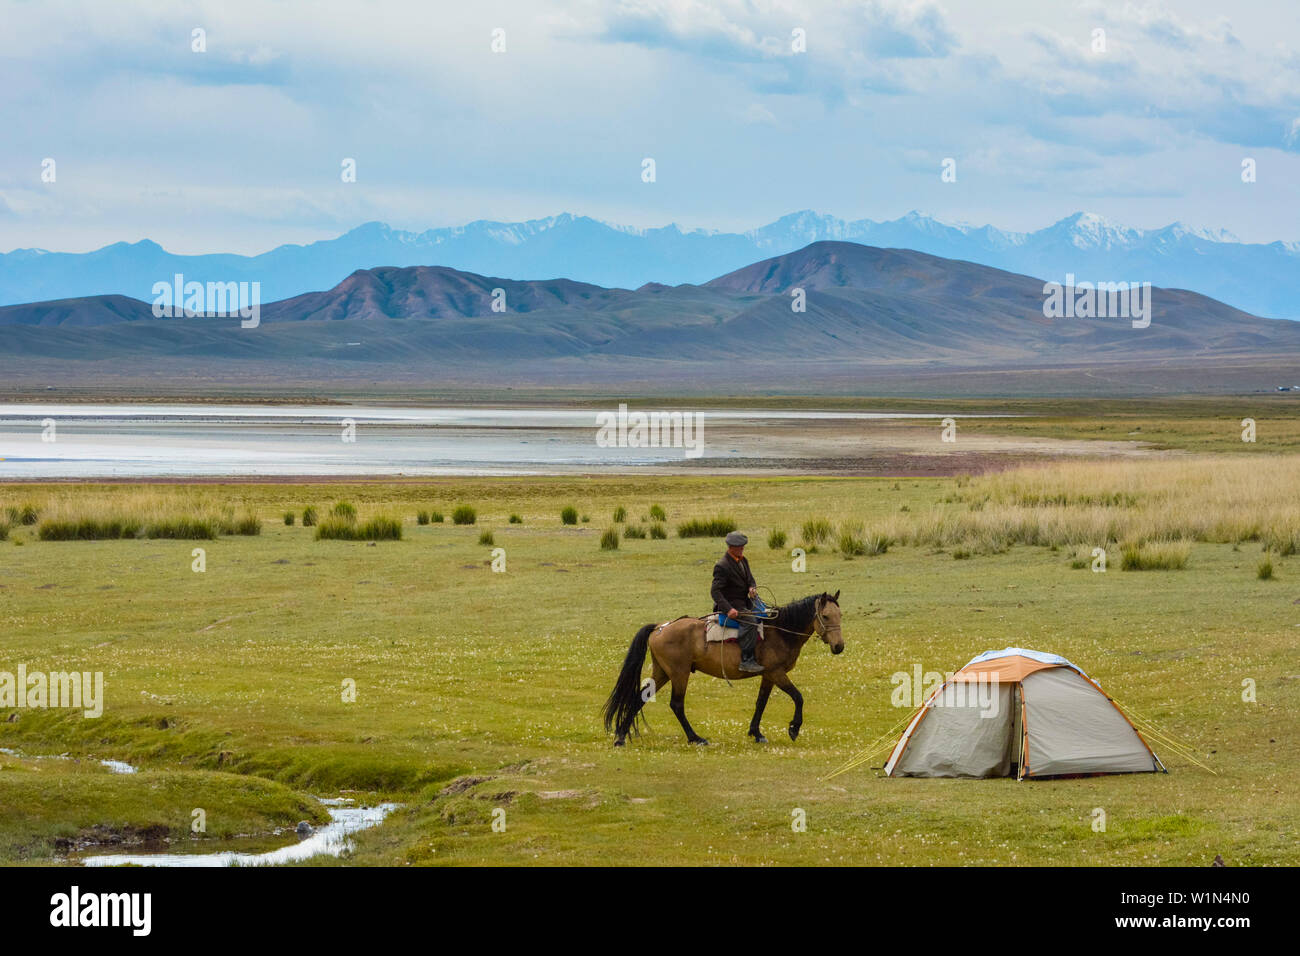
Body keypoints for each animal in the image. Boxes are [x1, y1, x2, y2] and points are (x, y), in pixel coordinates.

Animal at [600, 590, 842, 749]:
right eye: (826, 616)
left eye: (840, 615)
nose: (839, 646)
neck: (780, 631)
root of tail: (660, 627)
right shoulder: (776, 672)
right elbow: (798, 697)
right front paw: (794, 728)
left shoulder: (768, 675)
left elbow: (761, 703)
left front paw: (756, 733)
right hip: (679, 673)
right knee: (676, 704)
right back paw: (695, 738)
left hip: (662, 673)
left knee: (640, 698)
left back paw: (620, 737)